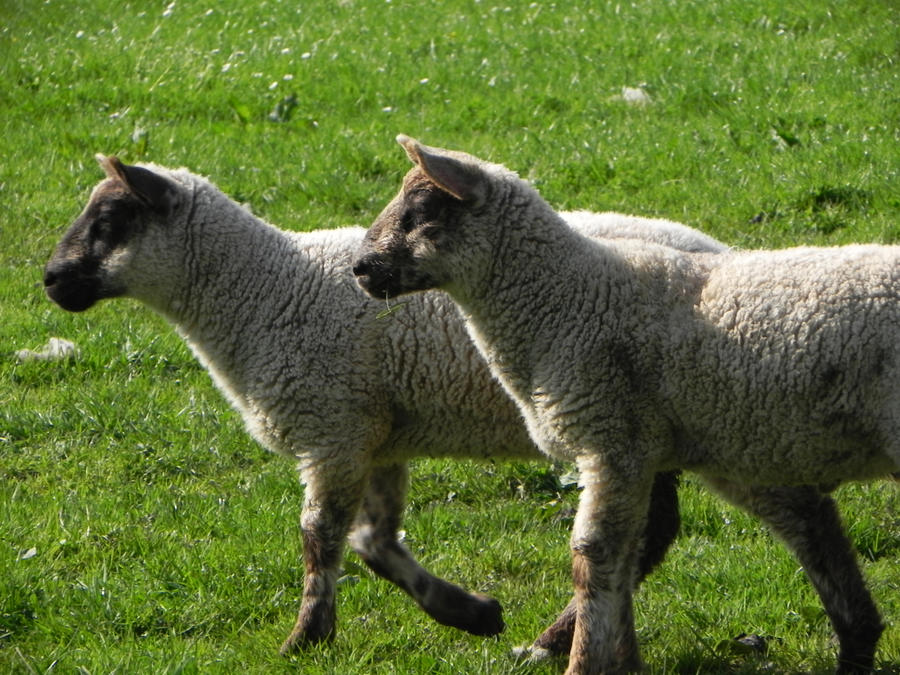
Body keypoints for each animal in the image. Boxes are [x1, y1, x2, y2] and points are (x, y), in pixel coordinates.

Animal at [43, 156, 729, 657]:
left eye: (113, 219)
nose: (50, 280)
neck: (261, 291)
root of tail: (720, 251)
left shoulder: (333, 429)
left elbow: (320, 537)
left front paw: (305, 639)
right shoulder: (377, 436)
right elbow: (374, 541)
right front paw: (470, 613)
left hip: (621, 425)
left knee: (642, 536)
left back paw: (553, 641)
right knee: (650, 534)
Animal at [352, 135, 899, 674]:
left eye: (421, 213)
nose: (360, 268)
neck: (562, 299)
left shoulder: (613, 440)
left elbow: (594, 555)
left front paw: (584, 660)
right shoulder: (670, 448)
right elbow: (629, 551)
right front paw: (620, 657)